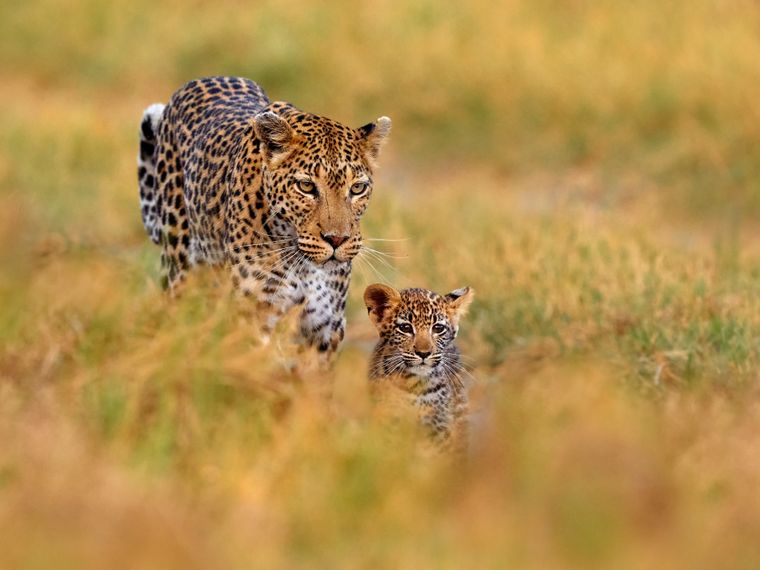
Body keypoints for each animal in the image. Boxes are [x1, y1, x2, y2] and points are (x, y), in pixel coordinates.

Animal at [137, 76, 390, 356]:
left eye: (357, 188)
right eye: (306, 186)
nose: (337, 240)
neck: (304, 267)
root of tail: (199, 80)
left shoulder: (325, 328)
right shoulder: (255, 315)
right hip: (179, 269)